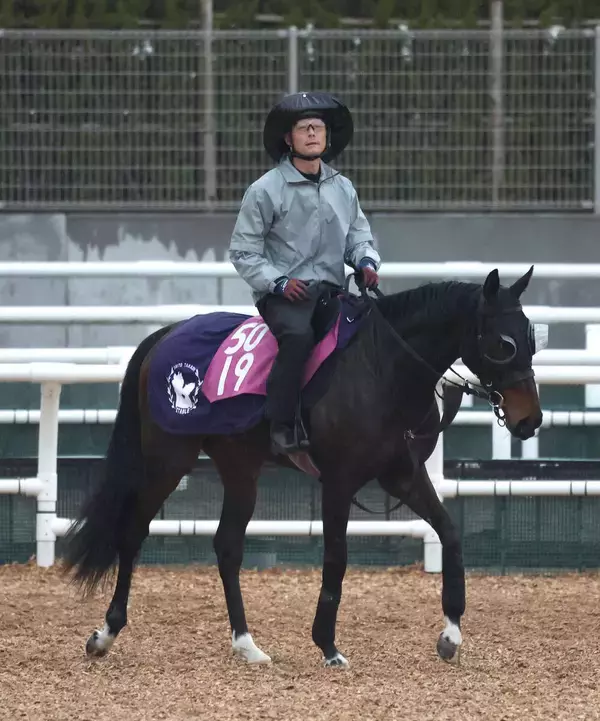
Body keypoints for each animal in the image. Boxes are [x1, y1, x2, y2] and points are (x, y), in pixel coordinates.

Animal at [62, 267, 544, 668]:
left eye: (532, 339)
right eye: (505, 344)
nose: (530, 420)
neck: (381, 367)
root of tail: (165, 334)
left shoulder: (402, 476)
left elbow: (450, 533)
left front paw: (451, 635)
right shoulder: (338, 482)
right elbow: (336, 557)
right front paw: (328, 645)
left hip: (239, 468)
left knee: (227, 546)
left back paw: (247, 645)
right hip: (168, 459)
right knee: (132, 532)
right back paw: (104, 634)